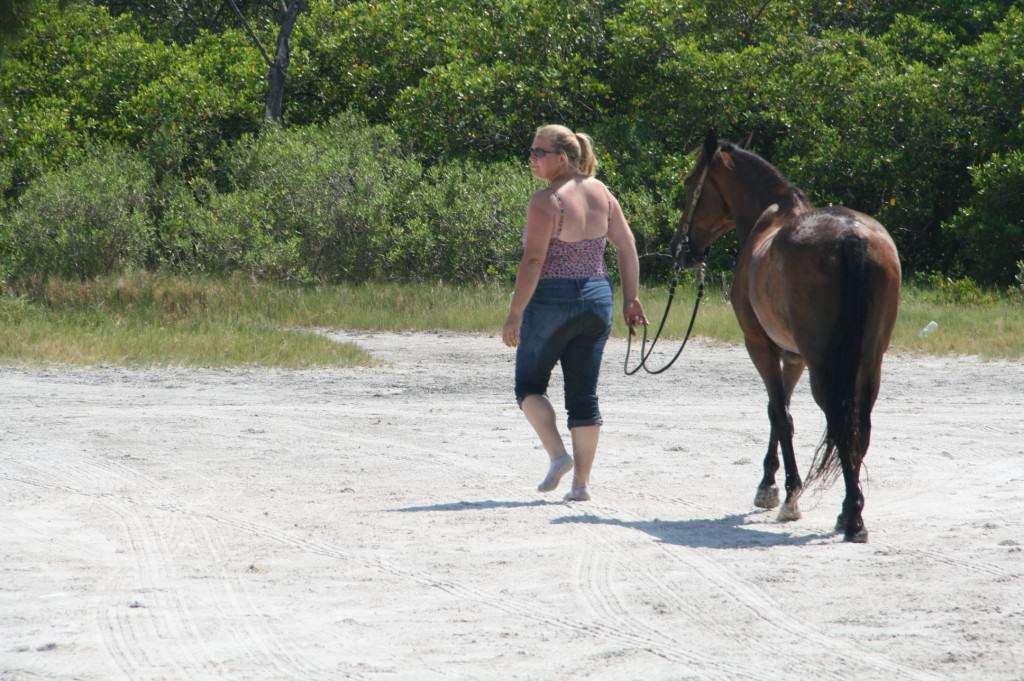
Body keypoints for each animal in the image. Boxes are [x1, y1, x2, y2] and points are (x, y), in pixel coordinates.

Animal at [671, 130, 905, 540]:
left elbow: (779, 414)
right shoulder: (793, 356)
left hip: (822, 365)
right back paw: (849, 511)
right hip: (870, 360)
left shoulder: (760, 346)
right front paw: (769, 484)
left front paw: (788, 495)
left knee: (839, 422)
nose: (680, 250)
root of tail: (852, 237)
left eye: (689, 184)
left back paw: (852, 517)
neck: (770, 216)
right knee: (860, 424)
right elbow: (780, 412)